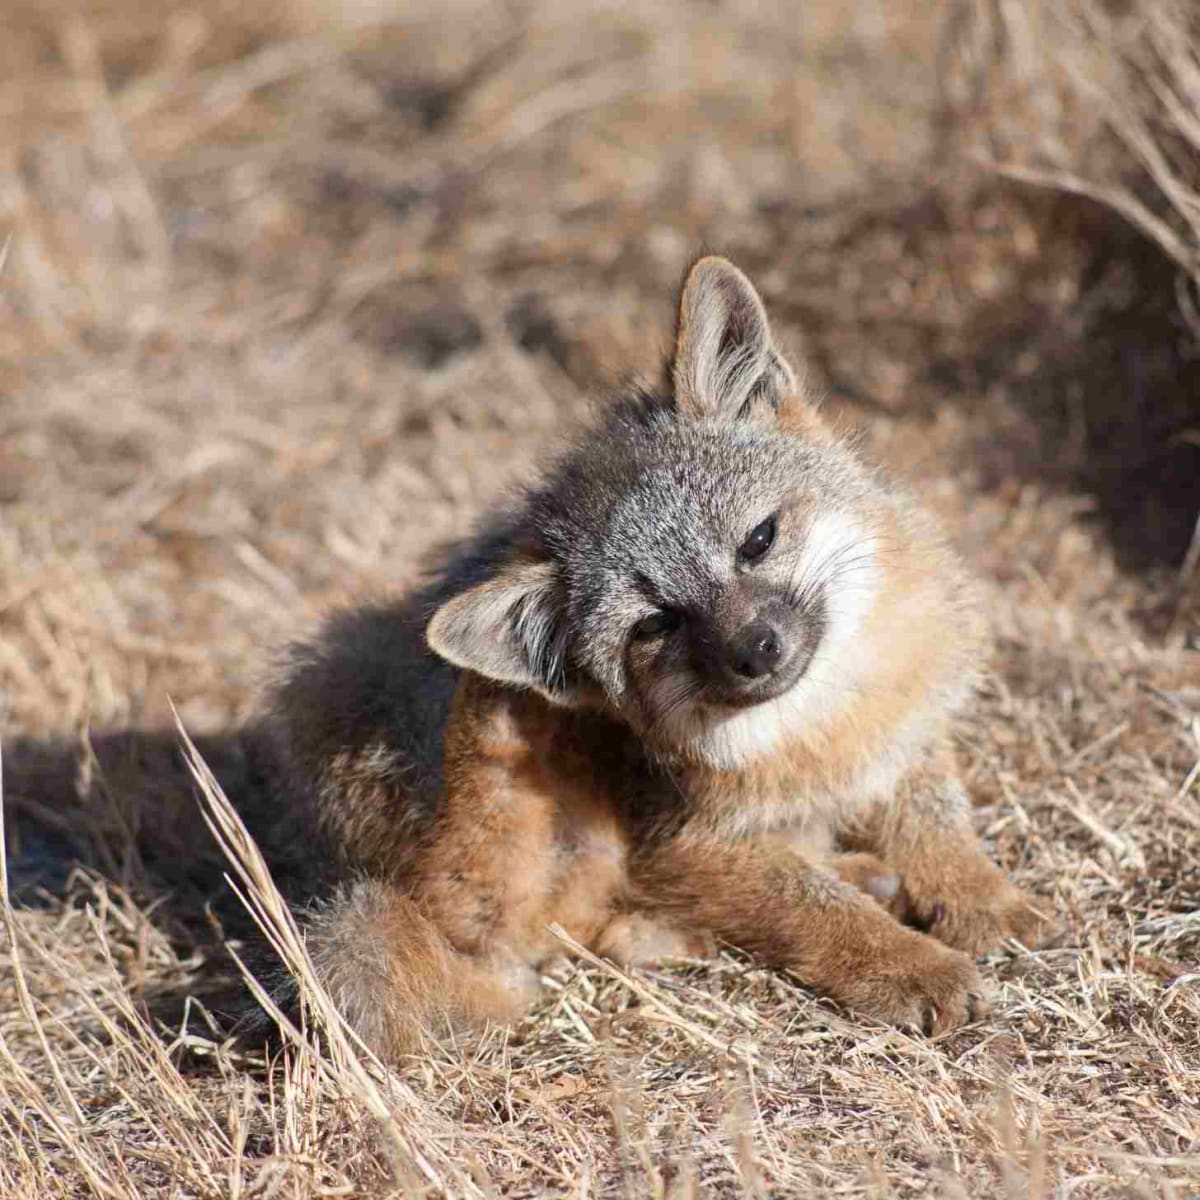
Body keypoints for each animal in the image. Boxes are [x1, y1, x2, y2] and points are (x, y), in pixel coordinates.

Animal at [265, 256, 1054, 1060]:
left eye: (758, 540)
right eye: (655, 625)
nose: (755, 651)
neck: (820, 729)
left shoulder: (902, 738)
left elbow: (936, 826)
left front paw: (983, 897)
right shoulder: (678, 842)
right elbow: (810, 908)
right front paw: (909, 963)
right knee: (542, 936)